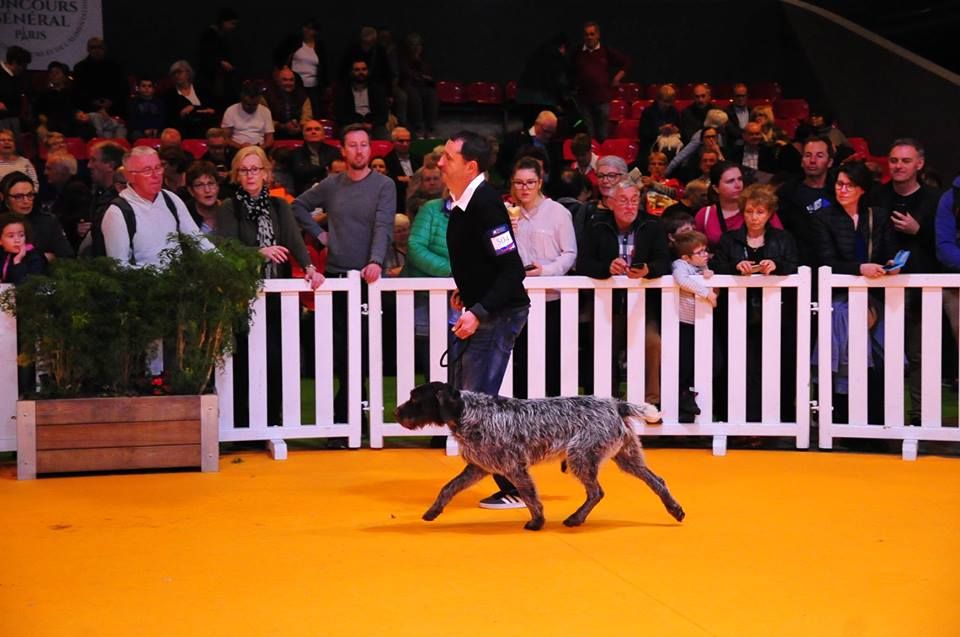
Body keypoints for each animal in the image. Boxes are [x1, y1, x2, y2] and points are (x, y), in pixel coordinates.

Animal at [394, 380, 688, 528]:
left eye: (415, 398)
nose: (396, 412)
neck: (467, 411)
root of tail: (616, 404)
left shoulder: (514, 467)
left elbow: (530, 496)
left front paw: (537, 522)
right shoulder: (479, 467)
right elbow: (448, 487)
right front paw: (433, 511)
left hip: (581, 456)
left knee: (596, 492)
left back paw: (576, 519)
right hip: (626, 457)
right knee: (657, 481)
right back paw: (675, 510)